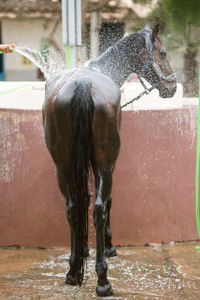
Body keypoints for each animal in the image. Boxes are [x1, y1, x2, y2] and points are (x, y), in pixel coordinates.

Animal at [42, 24, 177, 296]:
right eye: (163, 53)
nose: (173, 86)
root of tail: (84, 83)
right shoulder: (109, 165)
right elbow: (108, 200)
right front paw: (108, 246)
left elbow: (82, 200)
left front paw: (83, 249)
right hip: (104, 164)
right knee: (99, 208)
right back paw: (103, 281)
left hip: (63, 167)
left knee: (73, 207)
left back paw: (74, 272)